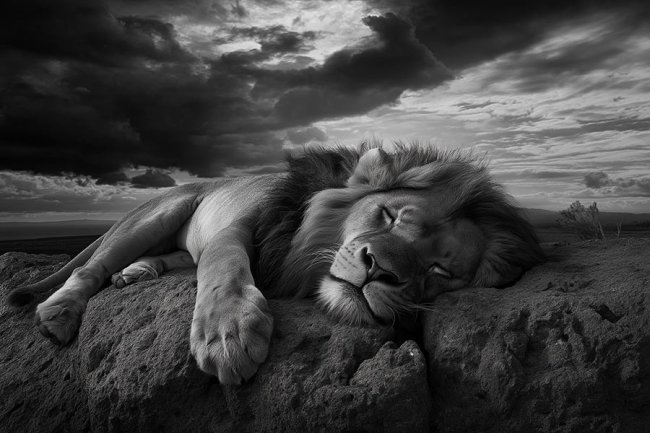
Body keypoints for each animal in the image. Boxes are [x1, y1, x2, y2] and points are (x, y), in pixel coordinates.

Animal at [7, 144, 544, 384]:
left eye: (438, 271)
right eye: (389, 216)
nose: (379, 269)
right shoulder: (236, 230)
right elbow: (223, 266)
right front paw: (227, 334)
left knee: (168, 258)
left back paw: (136, 273)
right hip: (159, 214)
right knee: (88, 268)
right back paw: (61, 311)